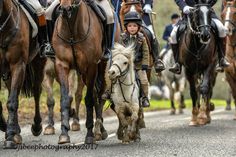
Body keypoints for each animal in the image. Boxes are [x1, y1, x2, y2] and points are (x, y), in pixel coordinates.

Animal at [0, 0, 46, 148]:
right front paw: (7, 128)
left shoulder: (18, 65)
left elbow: (12, 101)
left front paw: (10, 136)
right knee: (11, 90)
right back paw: (16, 129)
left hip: (38, 63)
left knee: (37, 91)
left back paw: (36, 126)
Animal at [52, 0, 121, 144]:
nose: (65, 9)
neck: (72, 28)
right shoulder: (62, 64)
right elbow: (65, 99)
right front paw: (64, 134)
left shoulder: (91, 66)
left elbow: (88, 99)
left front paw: (89, 135)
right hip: (83, 74)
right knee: (96, 95)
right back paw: (99, 130)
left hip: (101, 68)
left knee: (99, 95)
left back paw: (99, 131)